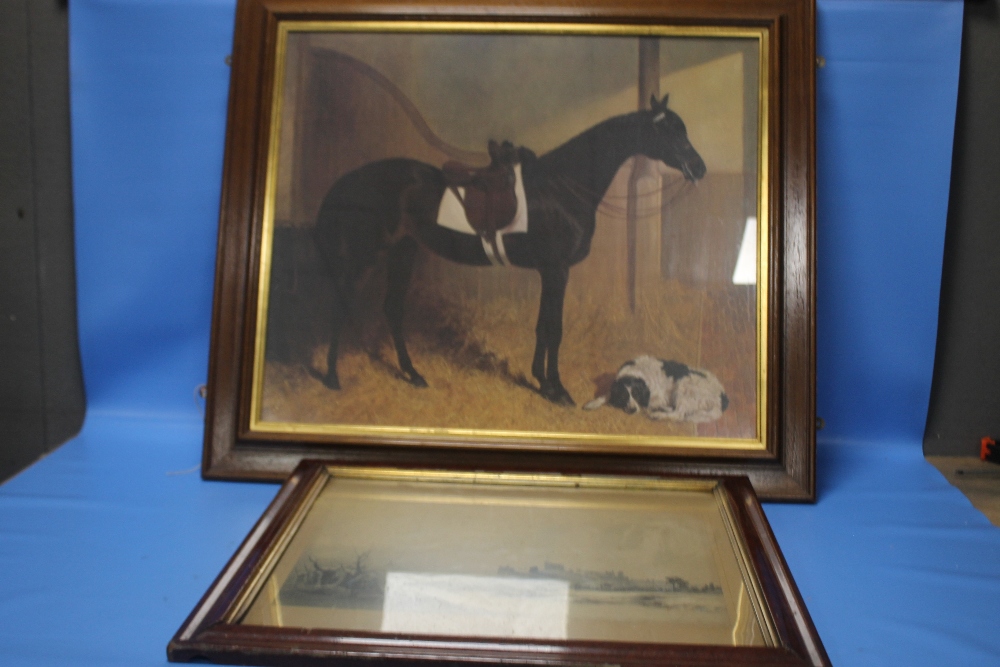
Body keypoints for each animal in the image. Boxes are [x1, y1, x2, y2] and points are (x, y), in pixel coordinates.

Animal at [312, 94, 704, 408]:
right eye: (670, 131)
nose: (699, 167)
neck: (563, 185)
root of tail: (352, 179)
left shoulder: (550, 271)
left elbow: (543, 326)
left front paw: (542, 382)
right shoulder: (557, 269)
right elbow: (554, 329)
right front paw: (558, 389)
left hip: (403, 252)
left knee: (392, 310)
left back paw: (413, 374)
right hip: (365, 257)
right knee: (341, 306)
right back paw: (332, 377)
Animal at [584, 354, 732, 422]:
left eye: (637, 395)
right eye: (623, 396)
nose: (632, 410)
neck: (637, 373)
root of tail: (723, 397)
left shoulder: (657, 397)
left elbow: (648, 404)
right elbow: (607, 394)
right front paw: (593, 403)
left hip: (685, 385)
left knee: (679, 414)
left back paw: (658, 414)